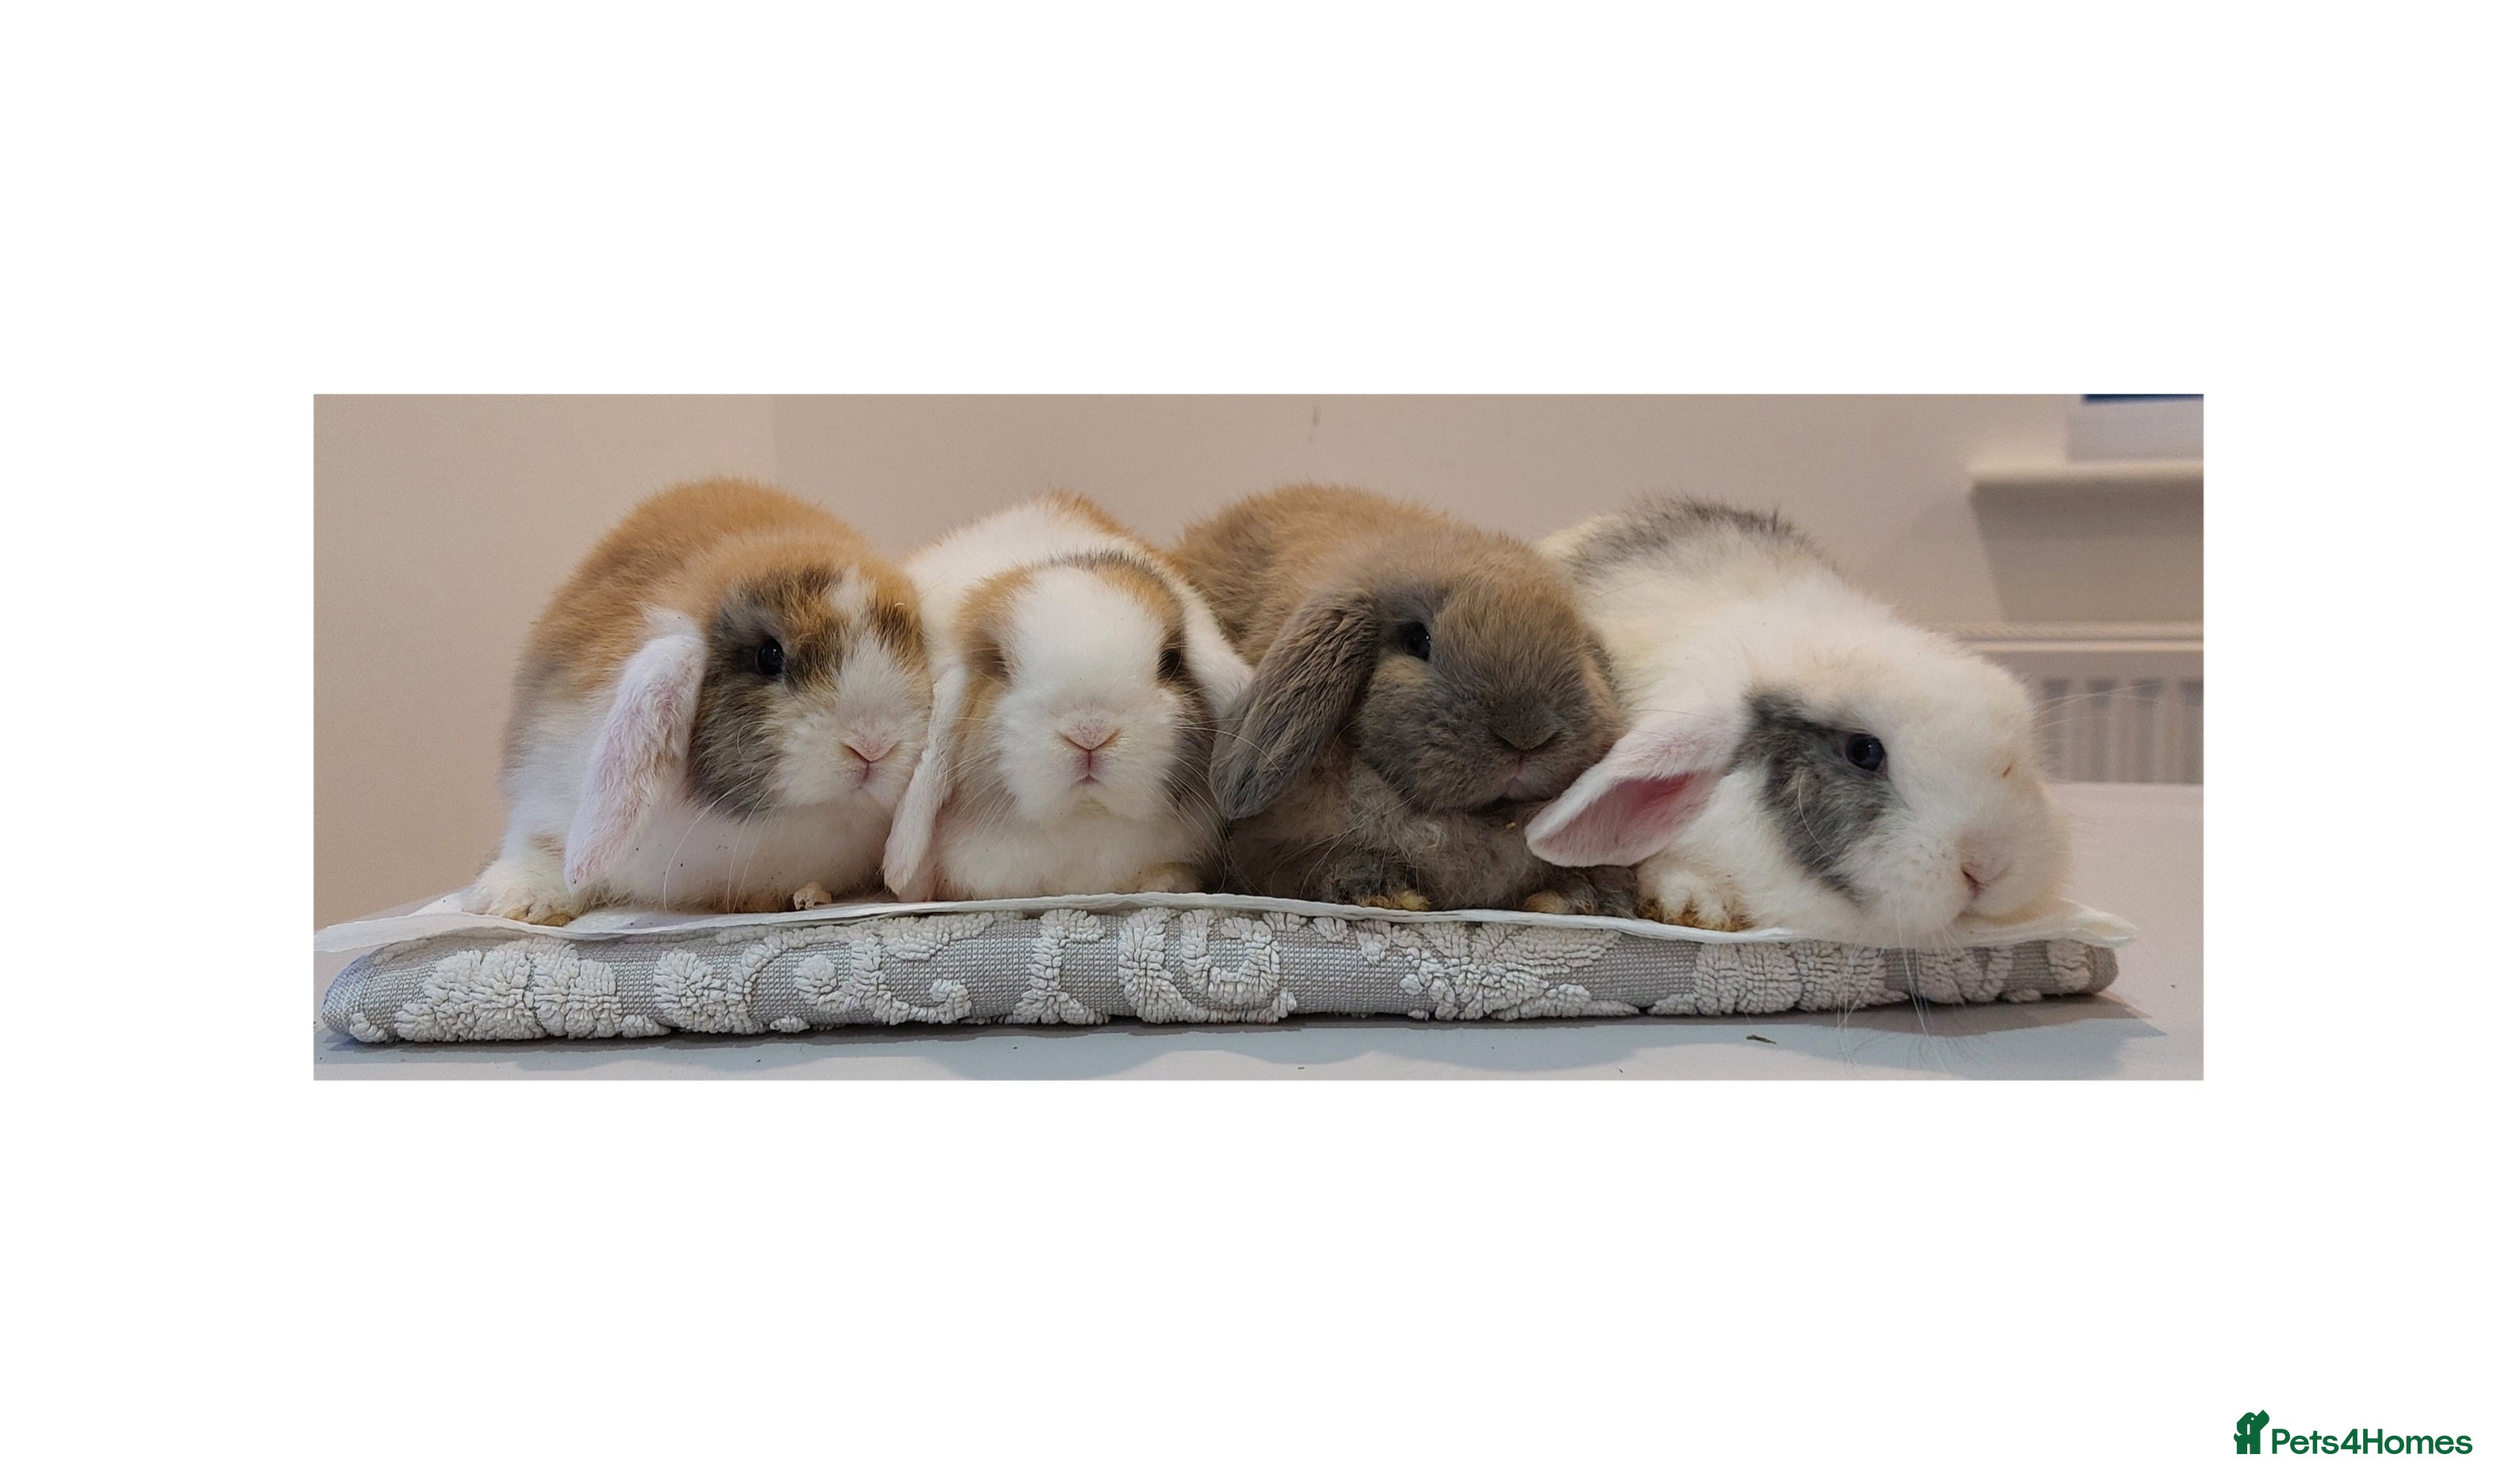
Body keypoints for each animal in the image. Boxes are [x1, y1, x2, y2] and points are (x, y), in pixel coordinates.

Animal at [1176, 483, 1635, 914]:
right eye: (1418, 640)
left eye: (1577, 643)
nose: (1527, 737)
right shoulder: (1264, 853)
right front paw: (1383, 889)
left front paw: (1577, 896)